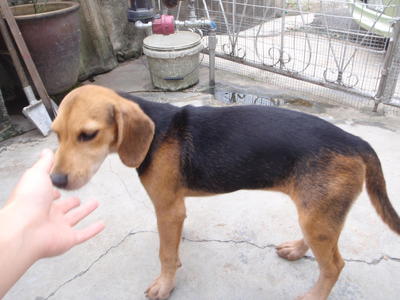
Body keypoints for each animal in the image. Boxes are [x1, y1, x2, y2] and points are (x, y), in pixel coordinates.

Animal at [50, 85, 400, 300]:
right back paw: (296, 250)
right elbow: (173, 244)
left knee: (334, 266)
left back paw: (313, 296)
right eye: (56, 135)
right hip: (316, 212)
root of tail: (356, 140)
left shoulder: (168, 209)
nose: (55, 180)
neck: (156, 132)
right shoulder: (176, 208)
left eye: (88, 135)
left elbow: (166, 253)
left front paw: (165, 285)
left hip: (318, 216)